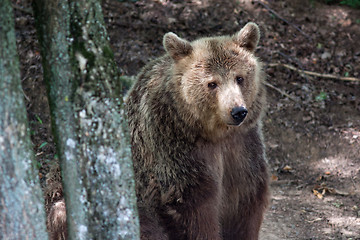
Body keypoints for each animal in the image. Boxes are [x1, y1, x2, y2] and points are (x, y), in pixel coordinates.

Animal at [125, 22, 268, 240]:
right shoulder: (174, 148)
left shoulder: (242, 146)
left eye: (239, 78)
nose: (238, 111)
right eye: (212, 83)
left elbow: (246, 203)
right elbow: (195, 209)